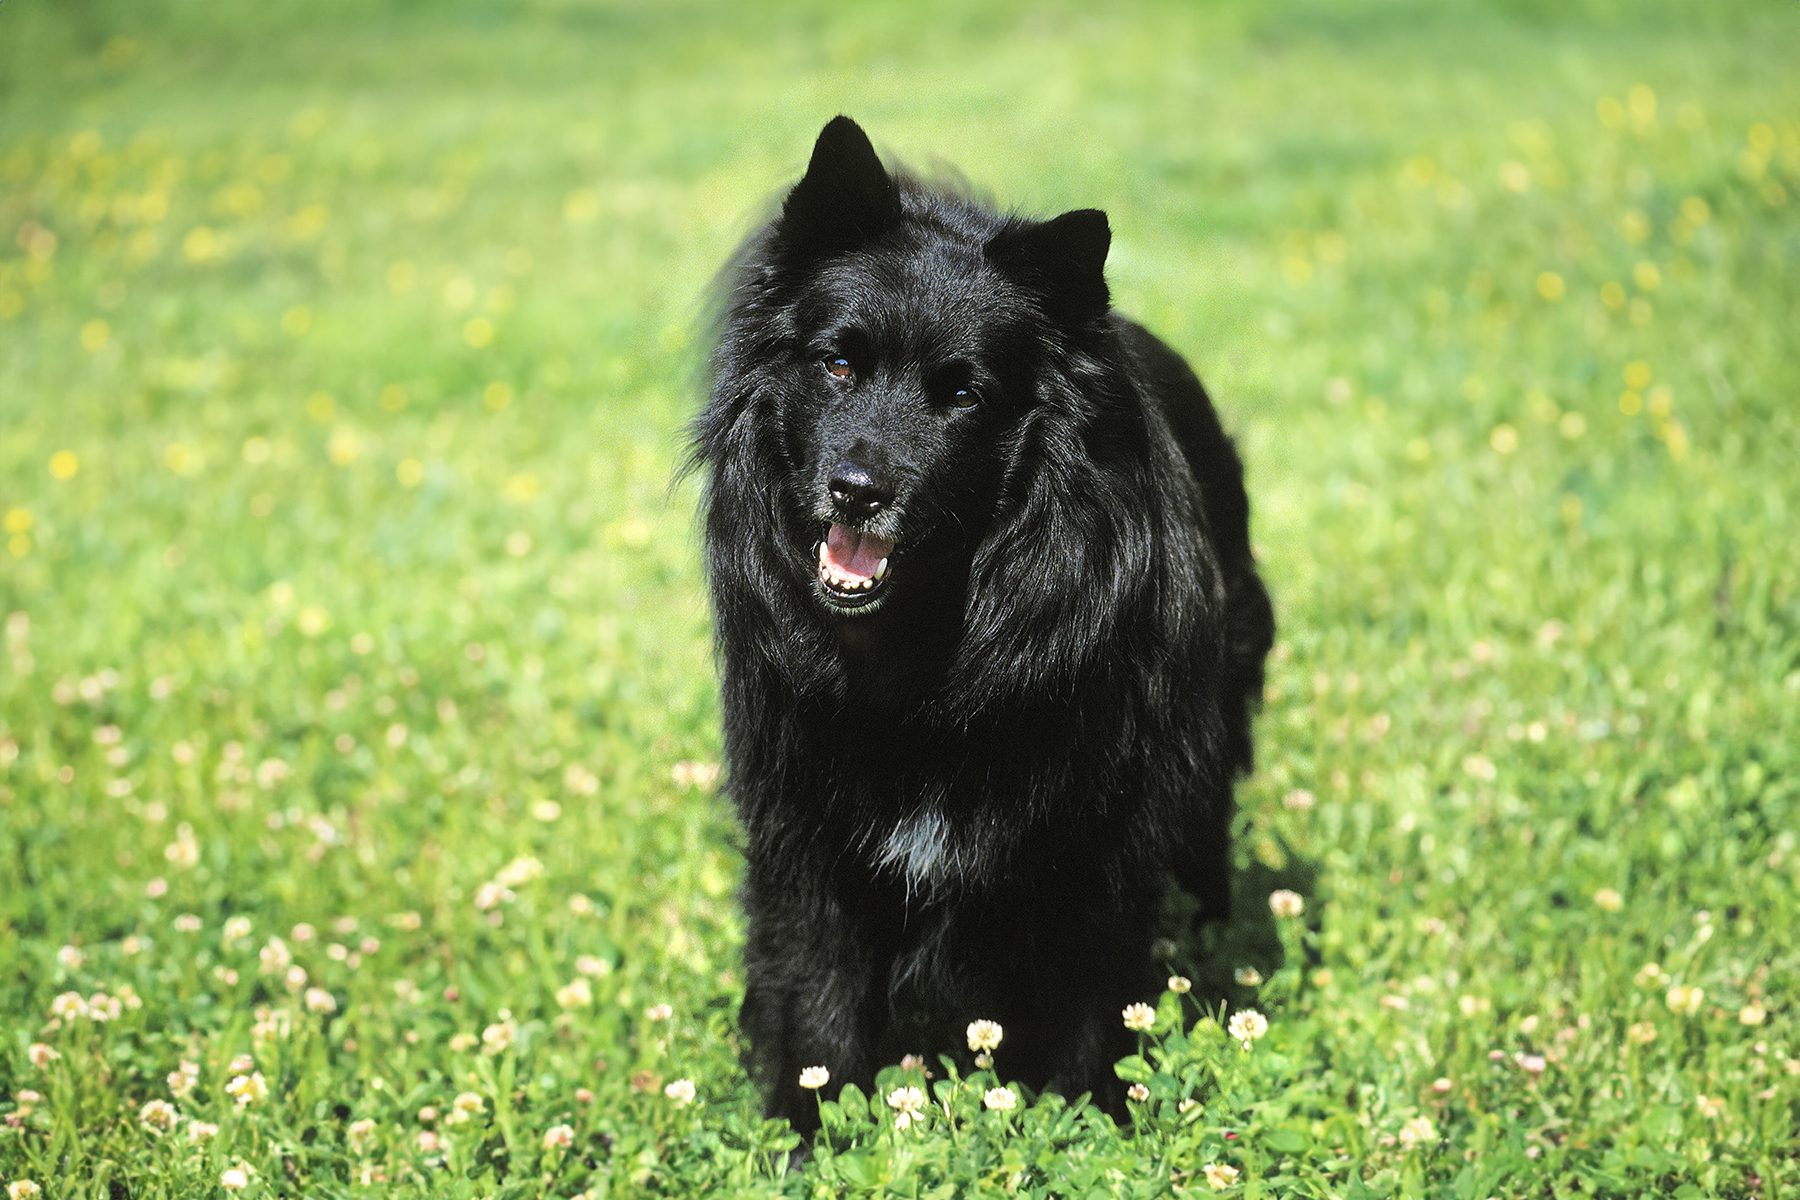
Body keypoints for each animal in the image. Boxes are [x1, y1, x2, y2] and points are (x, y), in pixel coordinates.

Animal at [684, 116, 1267, 1129]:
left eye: (963, 395)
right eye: (838, 362)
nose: (857, 491)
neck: (925, 652)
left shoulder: (1096, 845)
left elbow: (1091, 1009)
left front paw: (1089, 1130)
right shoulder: (808, 839)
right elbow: (817, 1009)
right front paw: (808, 1140)